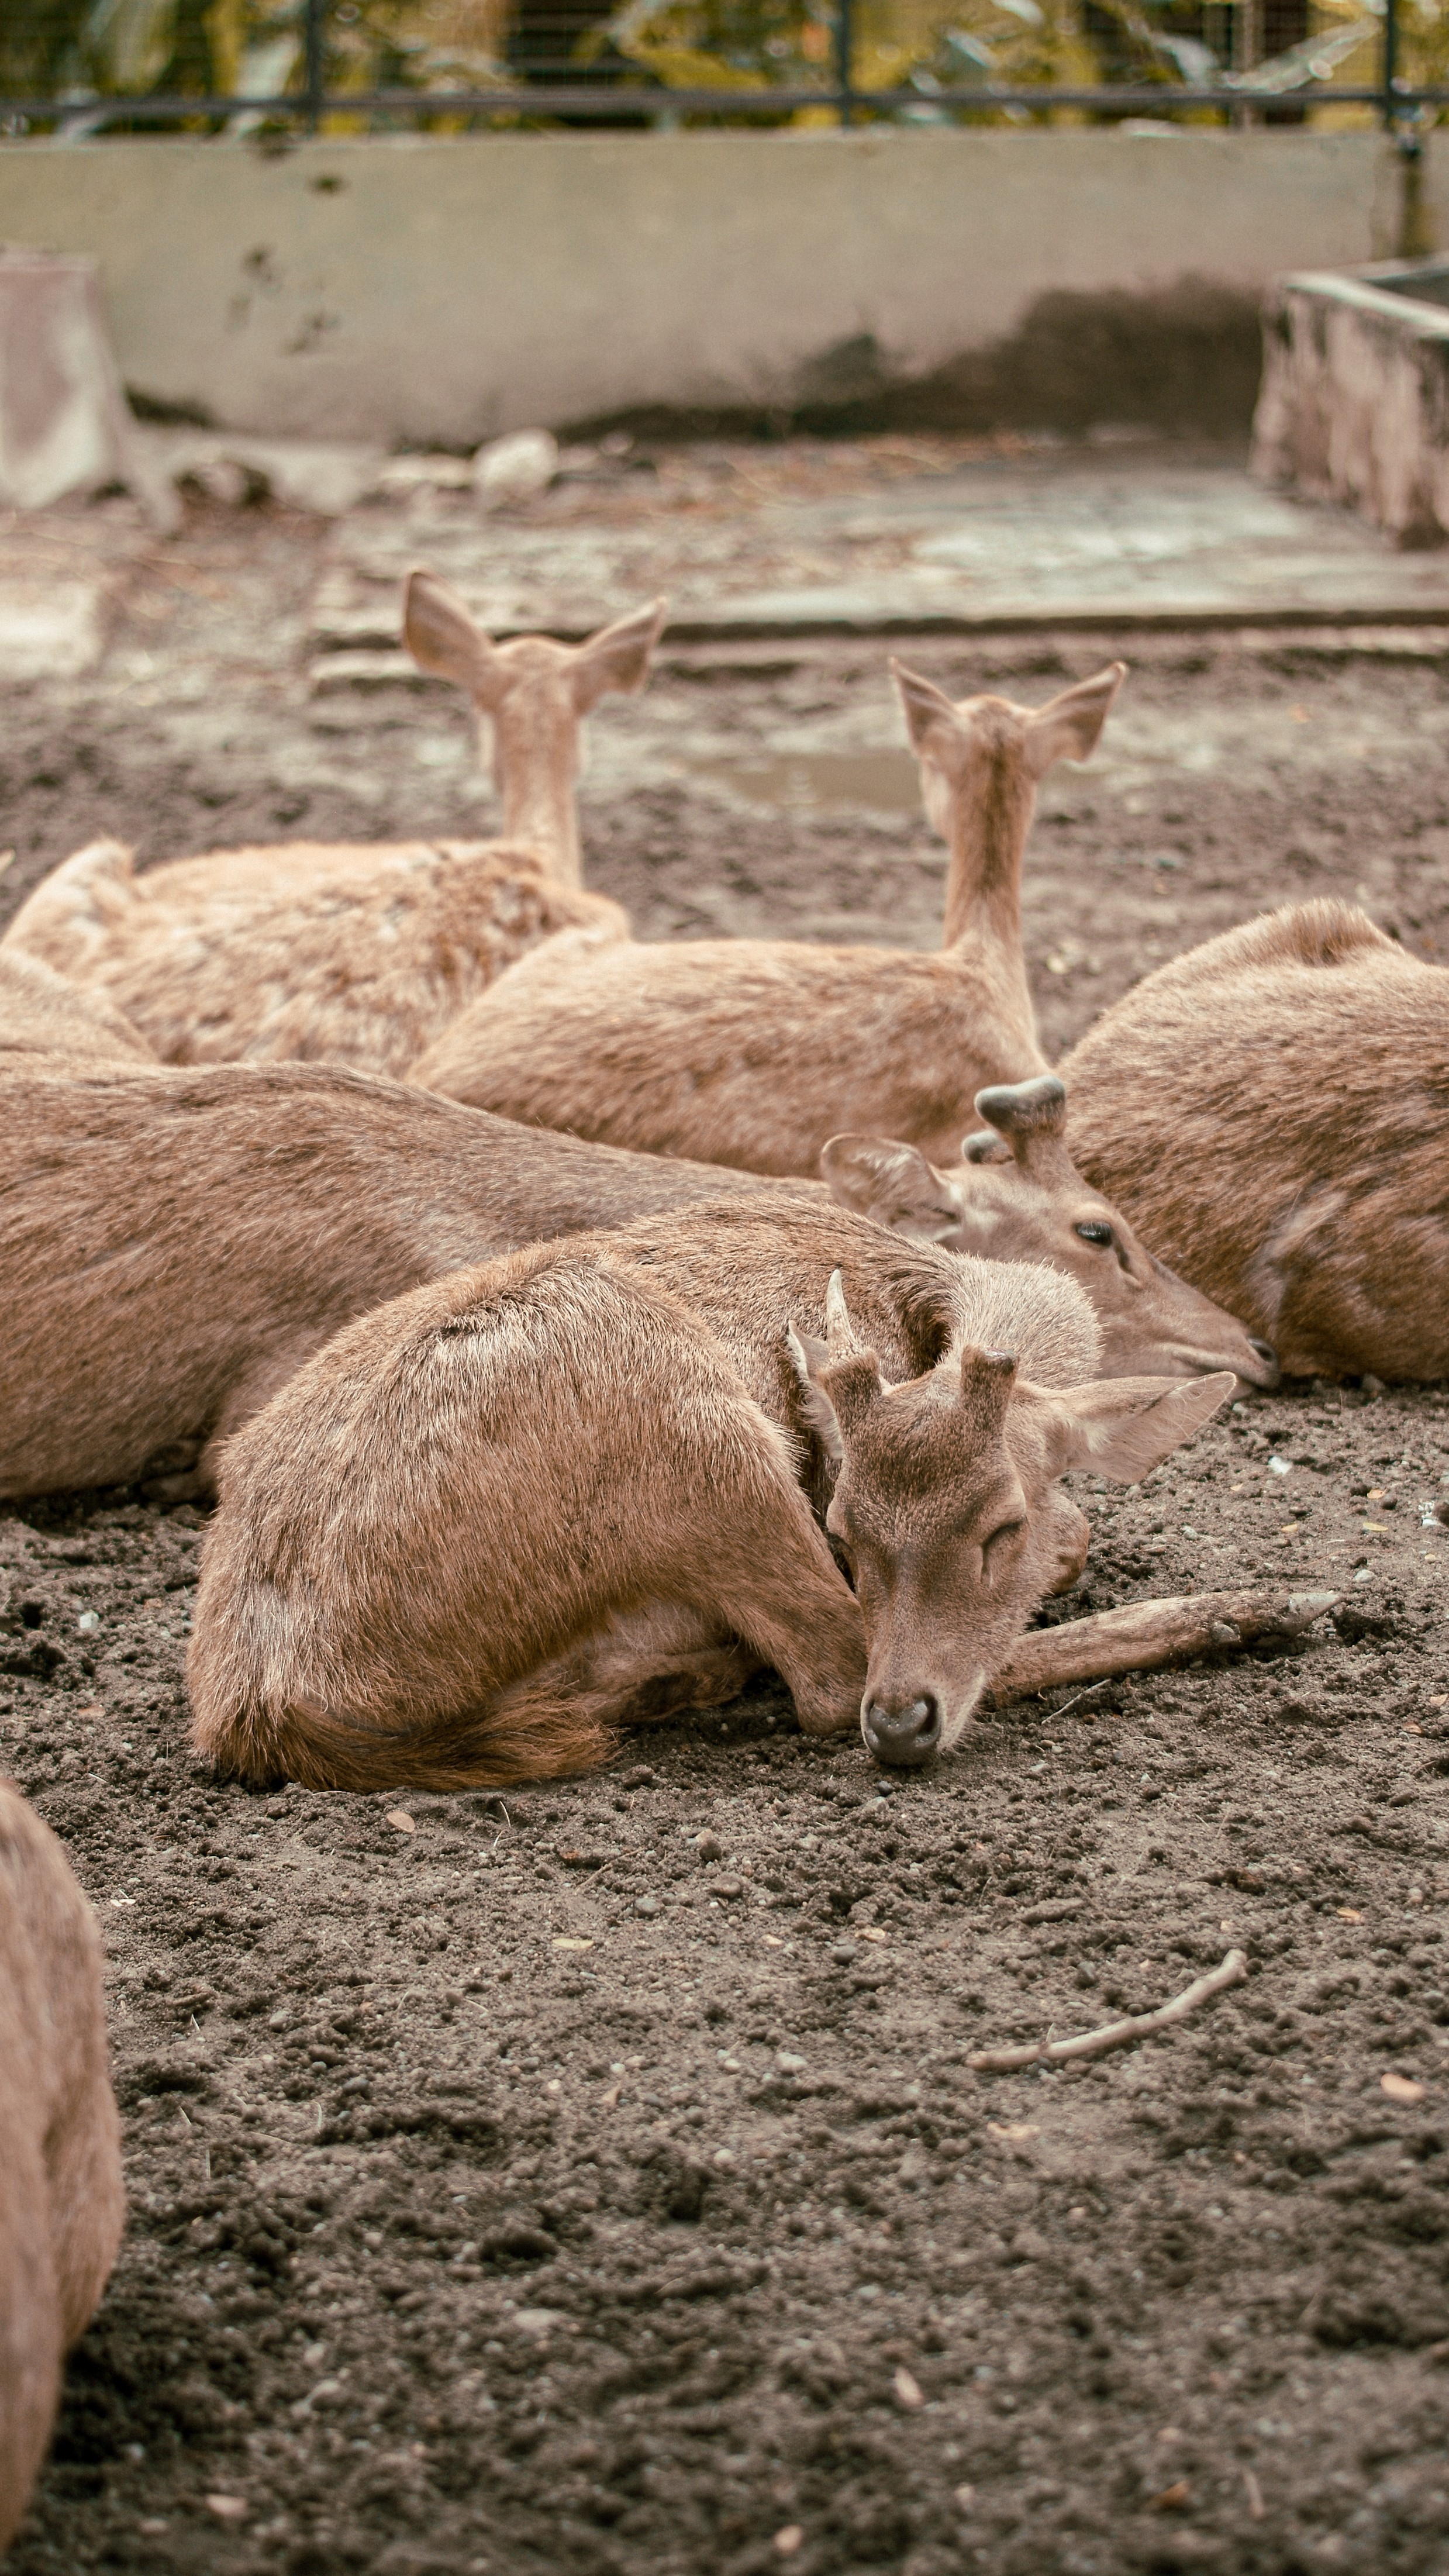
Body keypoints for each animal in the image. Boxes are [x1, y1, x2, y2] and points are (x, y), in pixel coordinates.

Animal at [186, 1195, 1249, 1791]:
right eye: (844, 1528)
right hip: (700, 1438)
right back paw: (1246, 1609)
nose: (903, 1723)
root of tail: (263, 1707)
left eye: (1001, 1525)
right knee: (827, 1673)